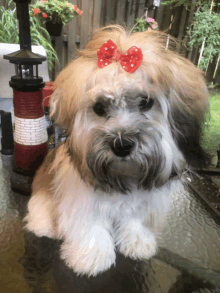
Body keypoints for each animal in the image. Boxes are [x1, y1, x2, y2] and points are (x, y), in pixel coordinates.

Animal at [24, 25, 210, 276]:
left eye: (145, 102)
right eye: (99, 107)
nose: (122, 145)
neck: (124, 177)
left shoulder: (142, 204)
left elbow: (134, 220)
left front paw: (137, 242)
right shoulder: (81, 199)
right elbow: (91, 225)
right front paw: (91, 256)